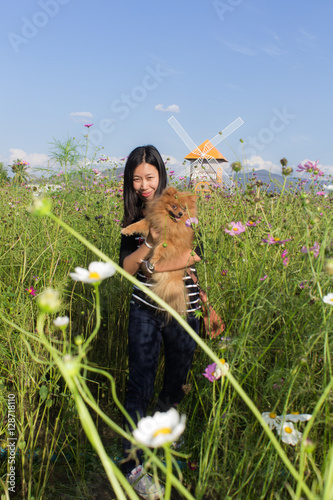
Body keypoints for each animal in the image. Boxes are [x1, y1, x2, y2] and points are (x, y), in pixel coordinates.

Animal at [122, 188, 197, 316]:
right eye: (174, 206)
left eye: (184, 208)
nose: (181, 214)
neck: (169, 221)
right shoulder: (150, 222)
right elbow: (137, 224)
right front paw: (126, 230)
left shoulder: (171, 242)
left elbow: (159, 248)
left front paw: (153, 259)